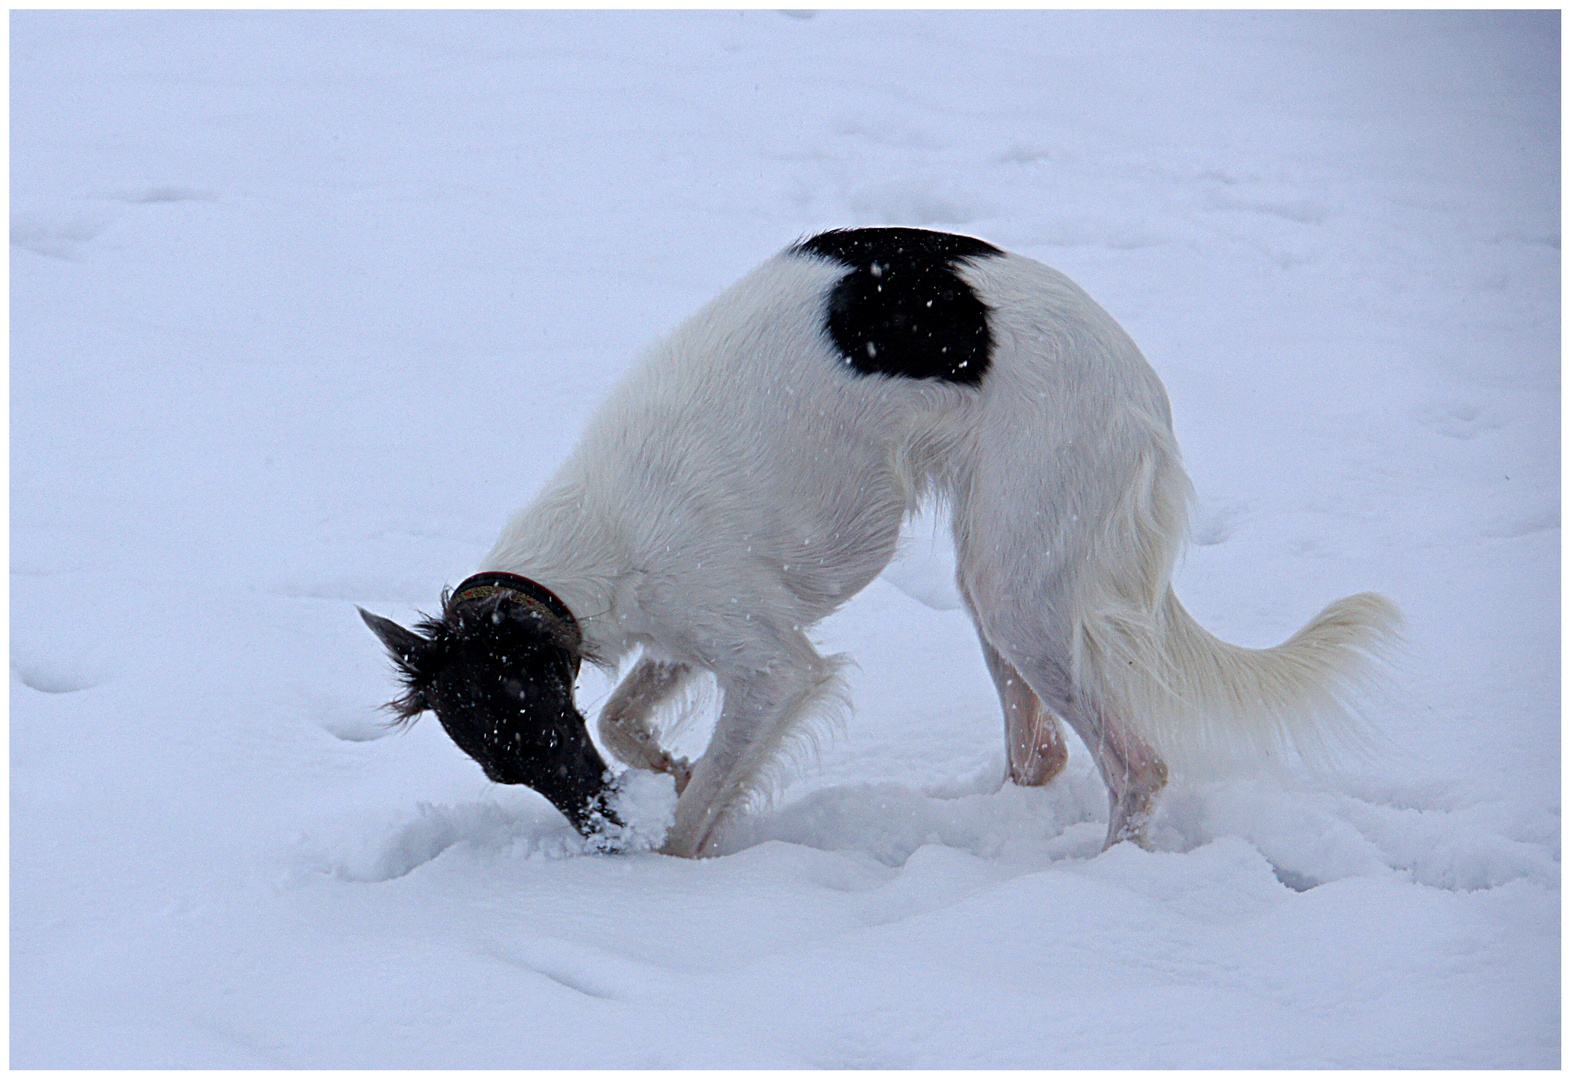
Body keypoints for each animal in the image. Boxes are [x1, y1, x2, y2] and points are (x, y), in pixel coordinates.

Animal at [359, 227, 1401, 861]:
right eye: (499, 766)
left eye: (539, 730)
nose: (602, 837)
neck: (593, 546)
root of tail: (1140, 384)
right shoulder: (692, 634)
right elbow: (626, 721)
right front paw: (674, 768)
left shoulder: (768, 660)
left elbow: (693, 812)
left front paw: (669, 852)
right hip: (997, 578)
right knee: (1041, 754)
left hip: (1021, 582)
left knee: (1136, 765)